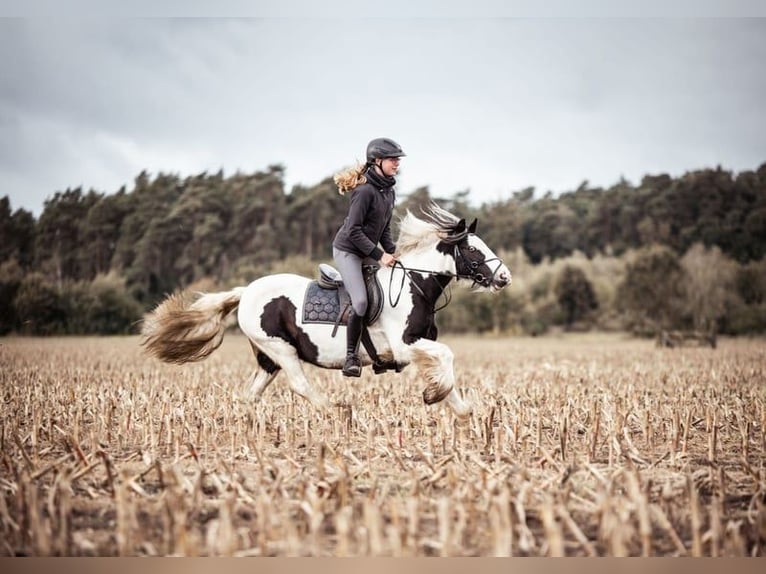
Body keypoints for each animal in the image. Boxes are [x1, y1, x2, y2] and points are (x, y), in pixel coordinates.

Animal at [142, 205, 516, 420]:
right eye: (472, 249)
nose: (504, 277)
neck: (414, 284)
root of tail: (246, 291)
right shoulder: (403, 346)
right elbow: (448, 356)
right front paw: (434, 395)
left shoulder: (418, 346)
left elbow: (445, 369)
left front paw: (462, 409)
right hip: (281, 349)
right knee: (299, 384)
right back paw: (336, 410)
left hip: (268, 358)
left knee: (250, 394)